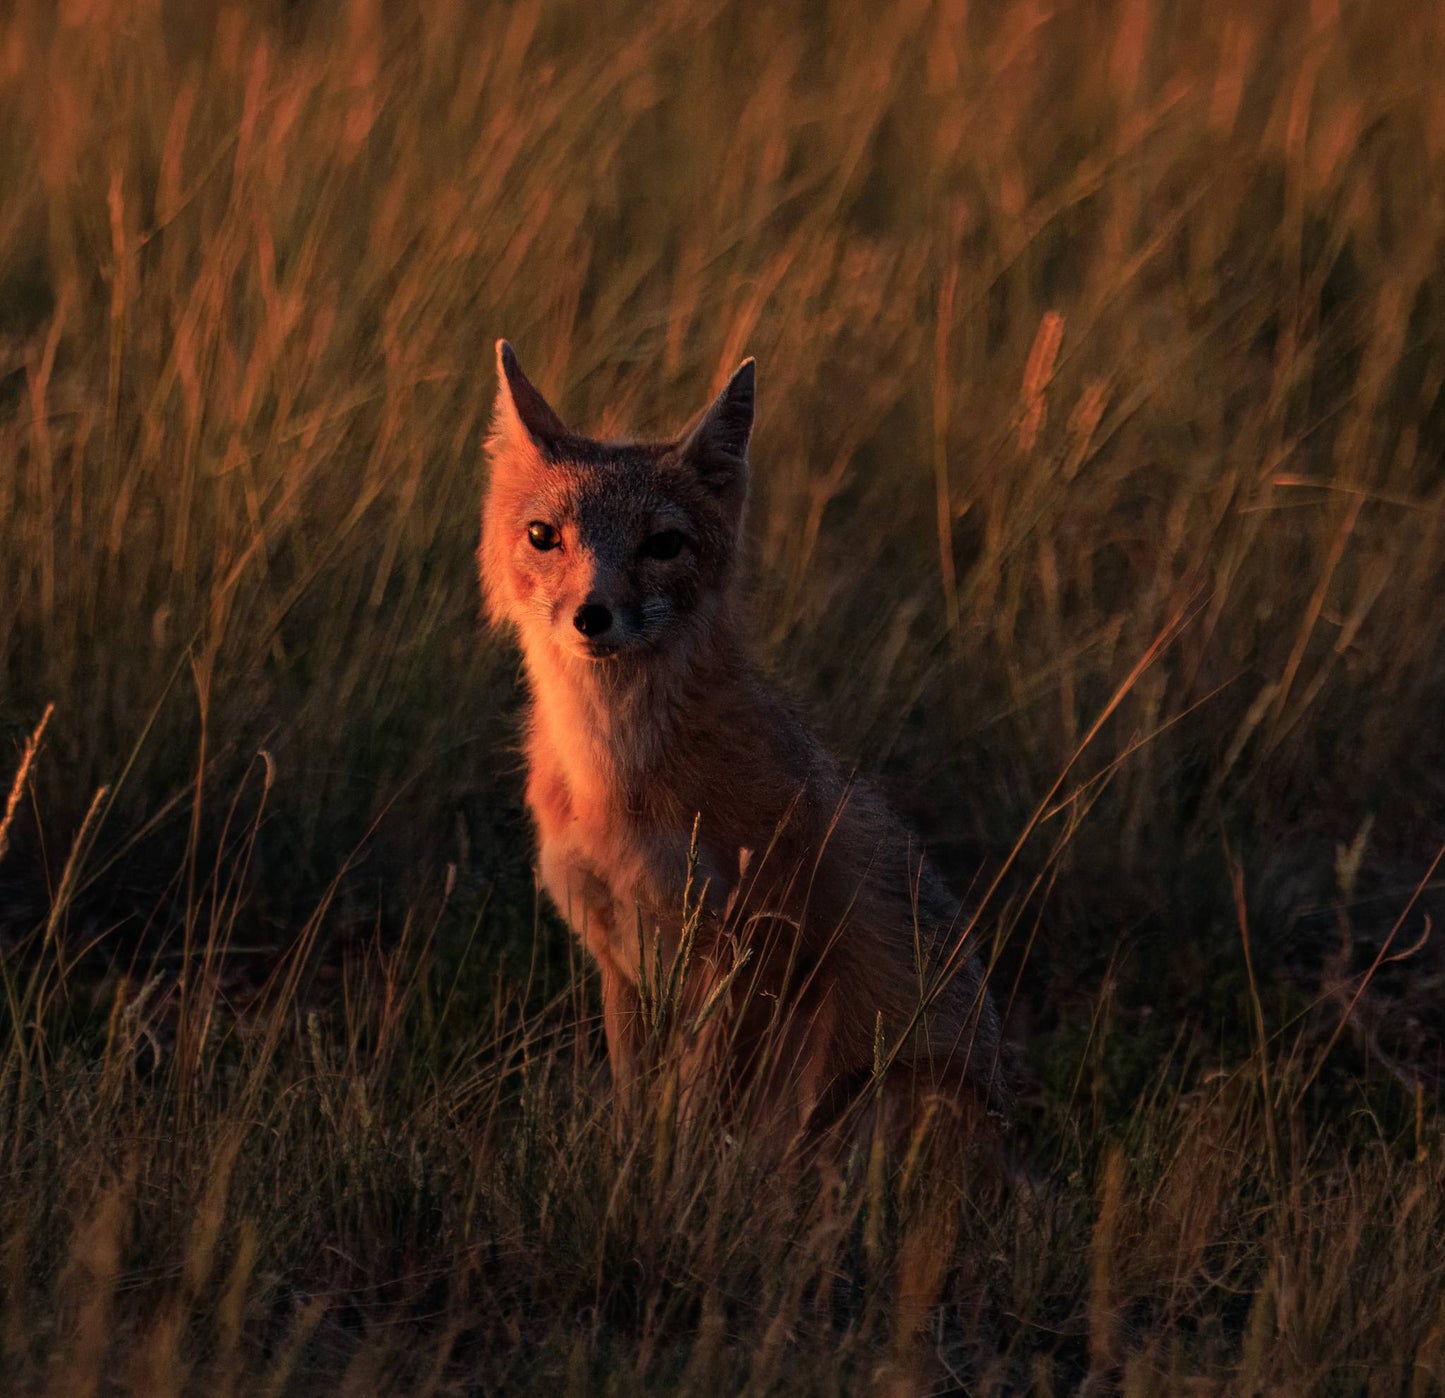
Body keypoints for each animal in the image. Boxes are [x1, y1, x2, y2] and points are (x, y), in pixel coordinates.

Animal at [480, 340, 1006, 1147]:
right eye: (544, 536)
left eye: (663, 544)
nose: (592, 615)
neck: (616, 778)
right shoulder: (618, 952)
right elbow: (639, 1103)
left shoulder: (751, 949)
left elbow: (699, 1115)